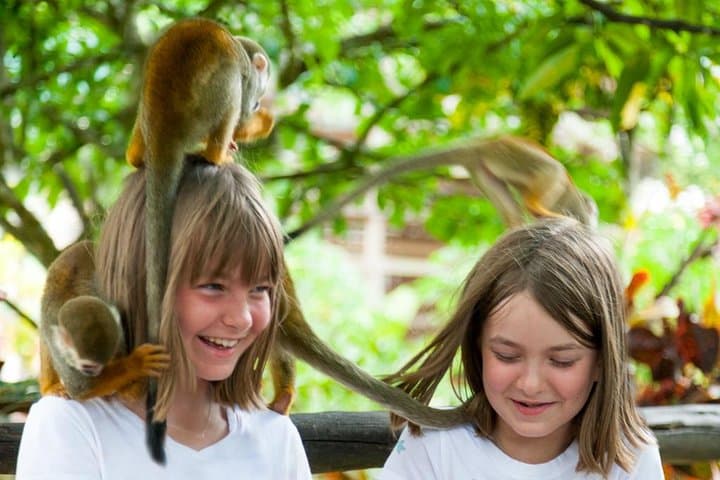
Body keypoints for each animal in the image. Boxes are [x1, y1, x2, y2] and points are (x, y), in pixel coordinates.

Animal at [39, 240, 171, 400]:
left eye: (102, 364)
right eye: (88, 366)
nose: (95, 373)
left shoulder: (116, 327)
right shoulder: (56, 344)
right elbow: (80, 387)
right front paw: (137, 362)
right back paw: (49, 387)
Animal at [123, 18, 273, 463]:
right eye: (265, 79)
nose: (263, 99)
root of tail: (165, 122)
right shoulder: (246, 78)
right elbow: (241, 100)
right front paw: (256, 120)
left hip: (147, 107)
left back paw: (136, 156)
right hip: (207, 100)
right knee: (228, 93)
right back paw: (217, 152)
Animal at [286, 135, 597, 241]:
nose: (592, 221)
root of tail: (483, 144)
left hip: (483, 169)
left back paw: (519, 224)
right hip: (510, 154)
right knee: (553, 170)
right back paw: (538, 207)